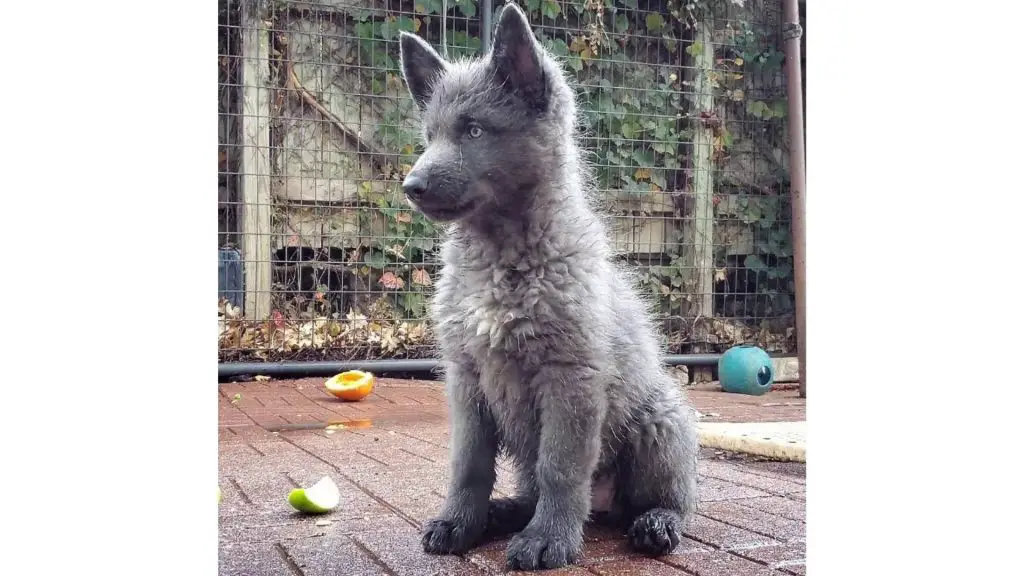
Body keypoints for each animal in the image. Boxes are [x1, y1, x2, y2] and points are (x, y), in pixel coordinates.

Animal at [395, 2, 700, 569]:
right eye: (430, 136)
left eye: (474, 131)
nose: (411, 187)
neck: (501, 258)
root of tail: (603, 509)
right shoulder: (466, 379)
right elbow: (468, 466)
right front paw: (460, 522)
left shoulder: (569, 378)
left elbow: (561, 468)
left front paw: (547, 539)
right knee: (530, 489)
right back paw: (501, 514)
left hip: (660, 423)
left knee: (670, 498)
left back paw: (656, 523)